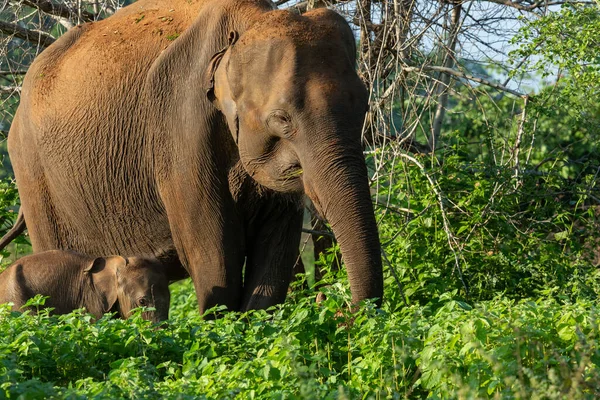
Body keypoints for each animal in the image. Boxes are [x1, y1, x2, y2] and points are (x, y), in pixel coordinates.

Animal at [8, 0, 384, 312]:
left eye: (364, 107)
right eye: (282, 119)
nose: (337, 307)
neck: (246, 25)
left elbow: (274, 253)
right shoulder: (178, 125)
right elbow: (215, 254)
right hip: (34, 179)